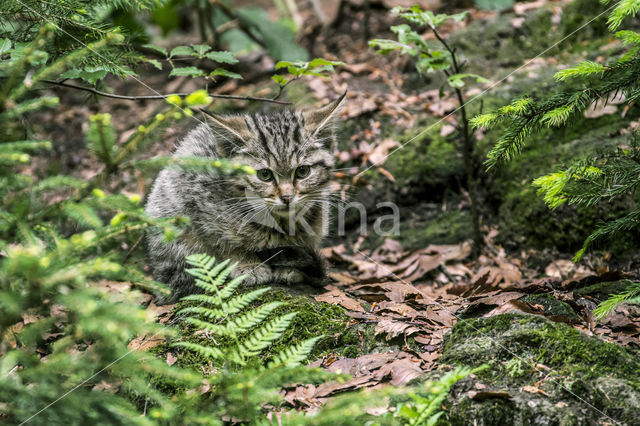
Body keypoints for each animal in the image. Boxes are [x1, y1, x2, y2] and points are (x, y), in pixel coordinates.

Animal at [145, 94, 344, 302]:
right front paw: (247, 264)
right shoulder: (193, 201)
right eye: (264, 175)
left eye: (303, 171)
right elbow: (222, 243)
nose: (287, 197)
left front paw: (288, 267)